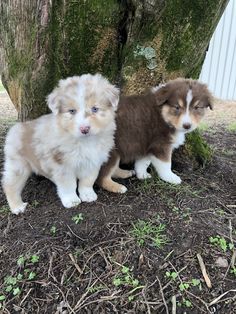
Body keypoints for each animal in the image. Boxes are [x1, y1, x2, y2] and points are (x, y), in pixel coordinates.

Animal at [2, 73, 119, 213]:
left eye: (95, 109)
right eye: (72, 111)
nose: (84, 129)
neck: (84, 142)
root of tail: (16, 127)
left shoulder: (93, 161)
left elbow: (87, 180)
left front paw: (88, 195)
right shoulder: (62, 164)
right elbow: (69, 184)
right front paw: (72, 200)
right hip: (18, 165)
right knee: (9, 185)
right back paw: (17, 207)